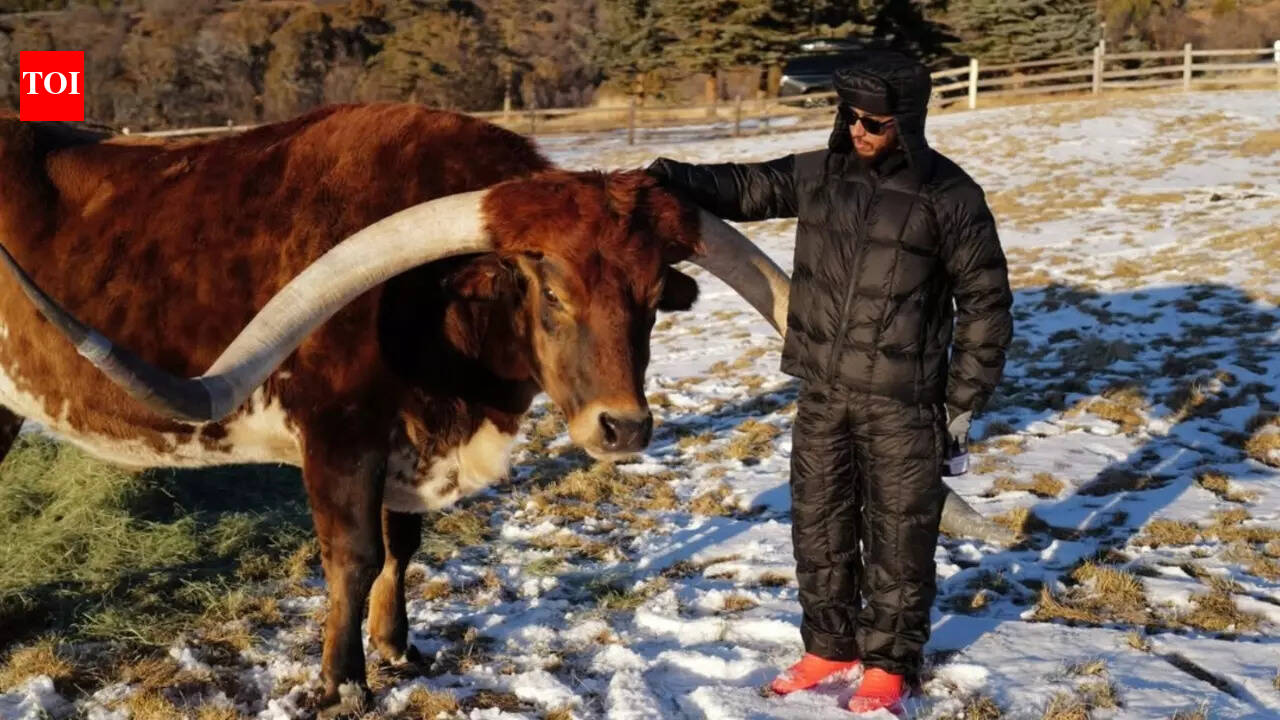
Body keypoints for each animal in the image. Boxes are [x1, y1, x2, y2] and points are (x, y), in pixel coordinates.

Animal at [0, 105, 1008, 709]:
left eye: (654, 297)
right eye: (550, 290)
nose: (623, 428)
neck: (434, 307)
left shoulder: (405, 449)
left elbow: (400, 552)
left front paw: (398, 649)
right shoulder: (339, 440)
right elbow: (352, 556)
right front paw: (343, 681)